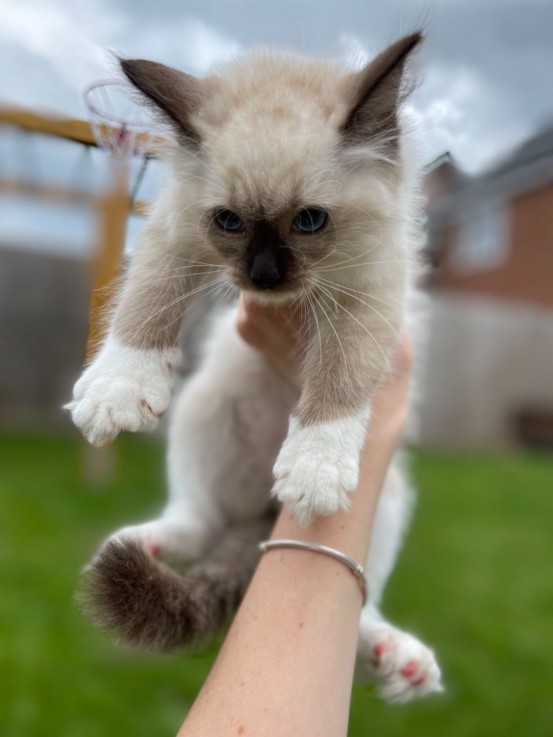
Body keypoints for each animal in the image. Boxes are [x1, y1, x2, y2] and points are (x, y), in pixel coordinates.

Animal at [69, 33, 442, 700]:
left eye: (311, 220)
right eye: (230, 222)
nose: (263, 277)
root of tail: (263, 519)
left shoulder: (372, 297)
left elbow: (340, 378)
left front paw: (315, 469)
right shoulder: (176, 231)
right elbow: (146, 298)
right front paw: (116, 389)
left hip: (389, 494)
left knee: (361, 601)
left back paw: (401, 661)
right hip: (203, 413)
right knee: (200, 523)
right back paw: (142, 541)